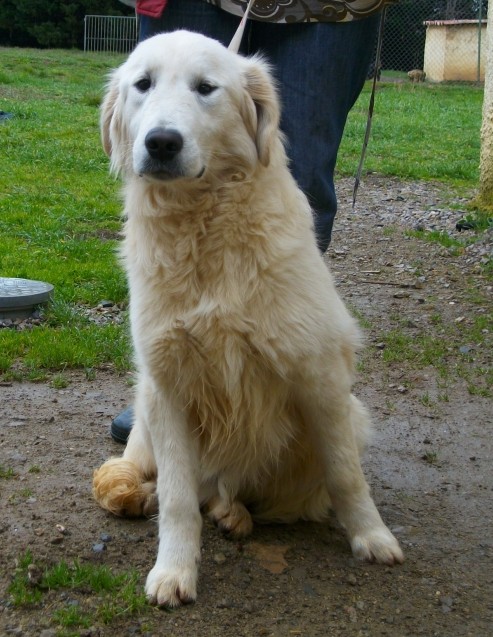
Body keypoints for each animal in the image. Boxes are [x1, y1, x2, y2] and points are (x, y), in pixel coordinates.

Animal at [93, 29, 404, 608]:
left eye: (205, 88)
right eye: (143, 84)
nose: (161, 142)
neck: (202, 226)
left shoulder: (320, 376)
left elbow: (347, 476)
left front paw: (372, 536)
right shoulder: (167, 387)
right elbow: (176, 499)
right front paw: (174, 570)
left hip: (351, 417)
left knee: (252, 493)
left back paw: (233, 513)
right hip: (145, 411)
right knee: (169, 483)